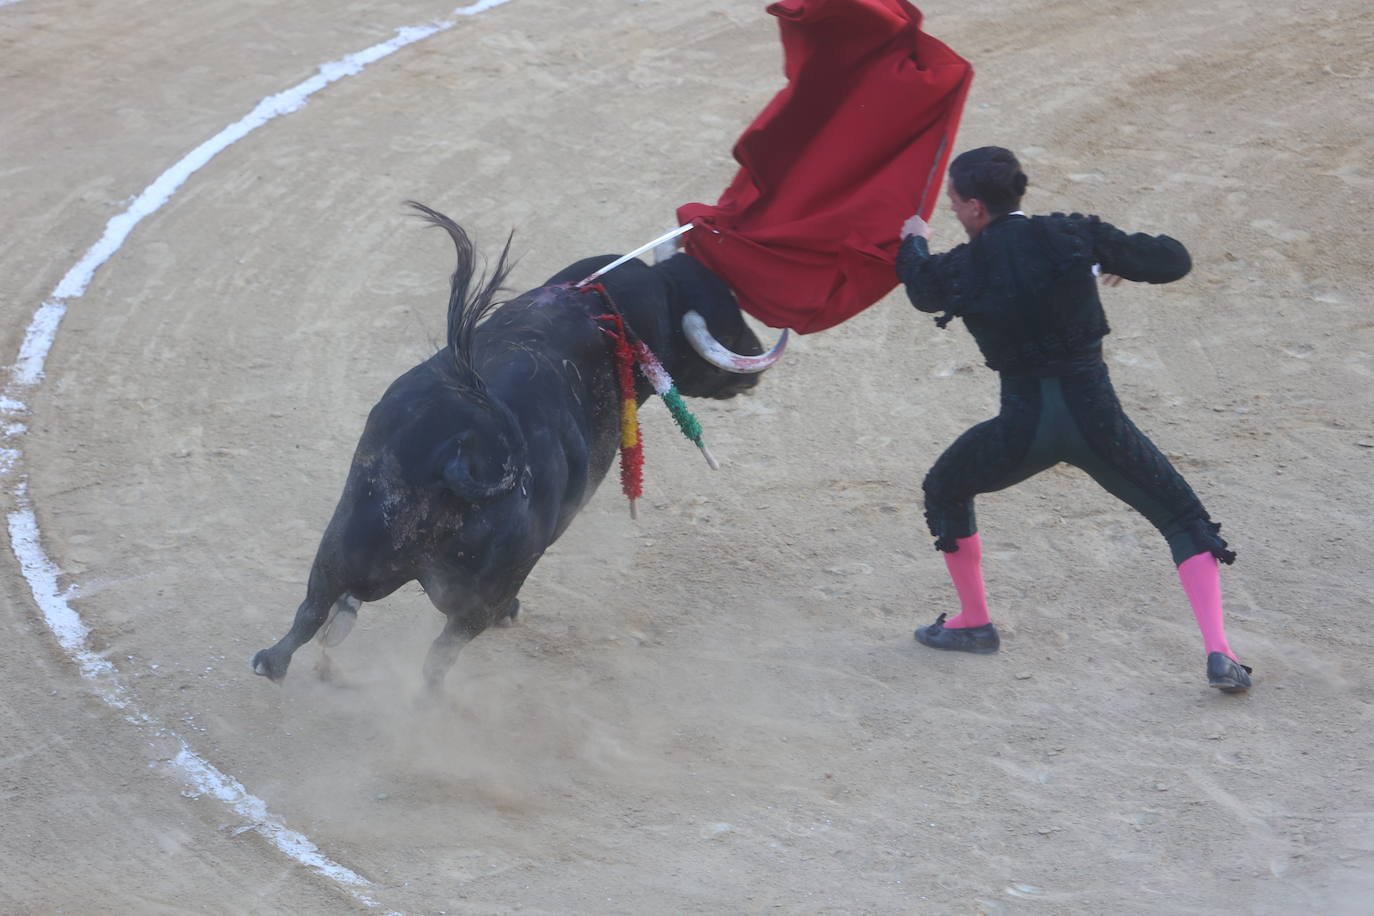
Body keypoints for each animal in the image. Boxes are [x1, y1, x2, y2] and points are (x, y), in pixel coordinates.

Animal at [251, 204, 780, 692]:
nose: (755, 361)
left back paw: (275, 662)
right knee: (438, 658)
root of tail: (461, 454)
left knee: (314, 605)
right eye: (730, 325)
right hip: (476, 598)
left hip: (346, 538)